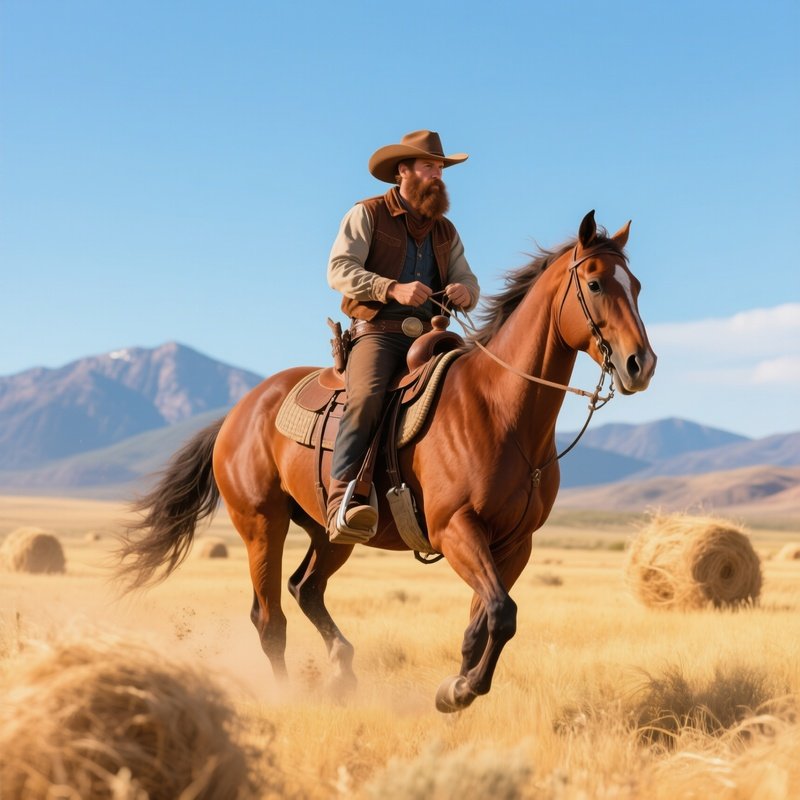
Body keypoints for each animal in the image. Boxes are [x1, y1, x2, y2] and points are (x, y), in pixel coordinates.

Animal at [116, 210, 656, 712]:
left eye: (636, 286)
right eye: (594, 283)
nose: (641, 364)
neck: (500, 410)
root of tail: (238, 412)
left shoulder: (514, 544)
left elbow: (486, 619)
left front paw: (458, 683)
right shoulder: (456, 529)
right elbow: (503, 613)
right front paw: (460, 690)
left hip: (331, 531)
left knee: (305, 588)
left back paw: (342, 670)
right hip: (261, 524)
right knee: (270, 619)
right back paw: (288, 695)